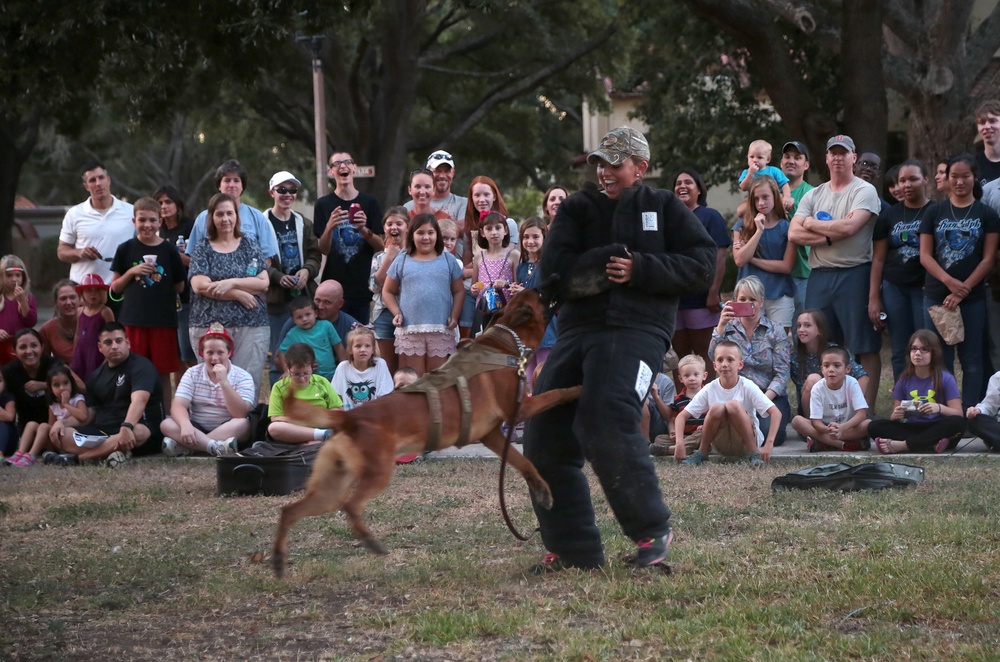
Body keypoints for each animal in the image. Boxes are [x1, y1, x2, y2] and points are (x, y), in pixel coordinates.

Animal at [274, 288, 584, 580]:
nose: (550, 281)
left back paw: (278, 559)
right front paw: (577, 389)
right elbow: (555, 393)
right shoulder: (519, 410)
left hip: (330, 487)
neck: (506, 342)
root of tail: (349, 416)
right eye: (540, 294)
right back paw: (369, 541)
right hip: (375, 473)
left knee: (290, 511)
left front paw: (542, 490)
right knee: (350, 506)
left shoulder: (493, 435)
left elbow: (524, 463)